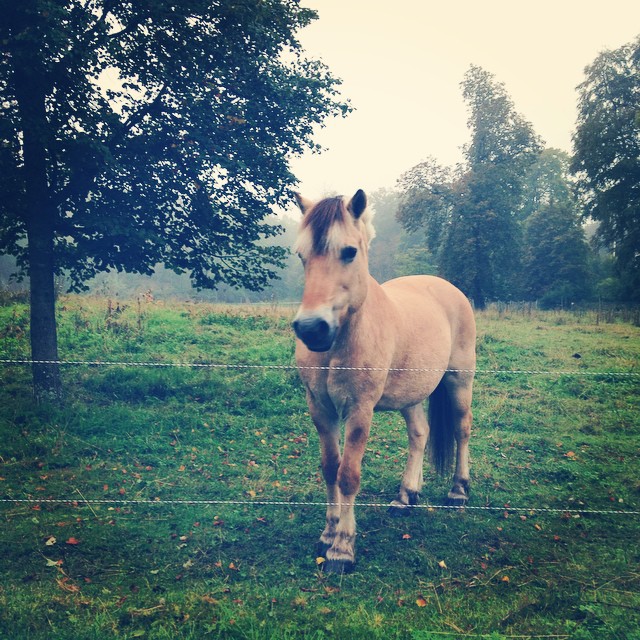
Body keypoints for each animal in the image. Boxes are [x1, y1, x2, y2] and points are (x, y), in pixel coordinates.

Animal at [292, 188, 478, 572]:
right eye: (301, 255)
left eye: (349, 251)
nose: (312, 328)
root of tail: (448, 289)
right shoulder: (320, 408)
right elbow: (329, 468)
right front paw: (328, 534)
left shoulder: (360, 410)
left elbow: (348, 475)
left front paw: (342, 549)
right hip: (412, 394)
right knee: (419, 434)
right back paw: (406, 496)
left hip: (459, 380)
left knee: (462, 429)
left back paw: (458, 490)